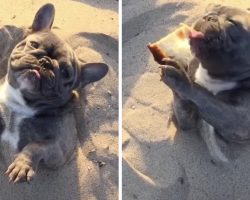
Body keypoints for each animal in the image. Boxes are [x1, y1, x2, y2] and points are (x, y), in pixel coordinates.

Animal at [0, 3, 108, 183]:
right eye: (34, 45)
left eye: (65, 72)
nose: (45, 62)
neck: (21, 104)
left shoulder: (57, 149)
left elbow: (35, 146)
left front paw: (22, 165)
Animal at [161, 4, 250, 163]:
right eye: (215, 8)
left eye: (232, 23)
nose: (209, 16)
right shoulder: (186, 121)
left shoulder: (239, 120)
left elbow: (205, 97)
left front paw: (181, 79)